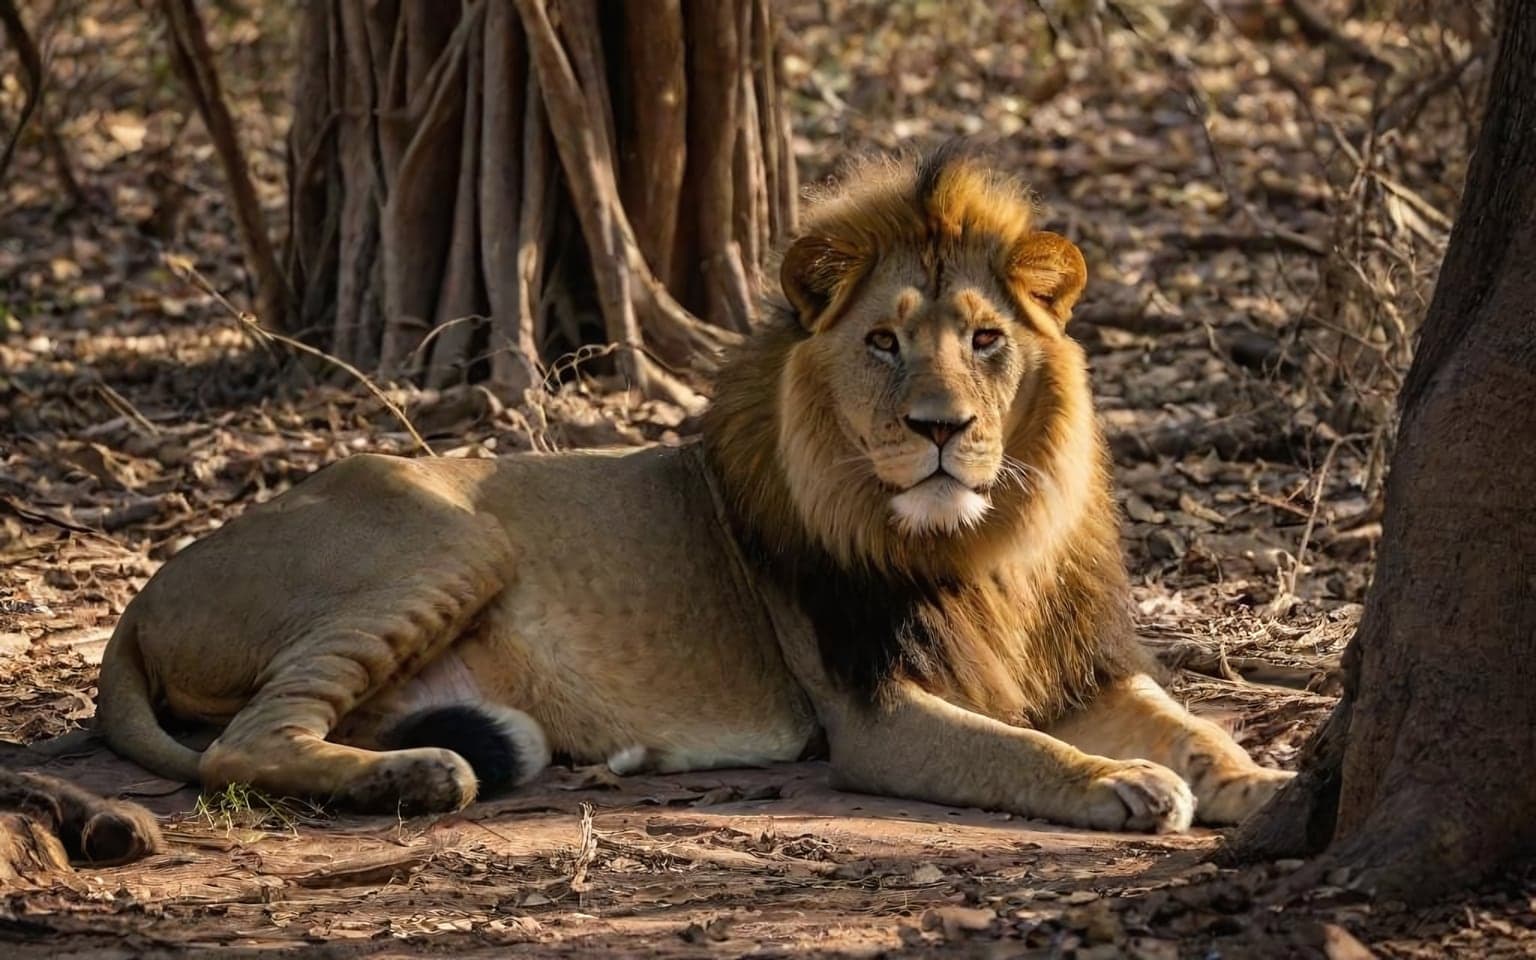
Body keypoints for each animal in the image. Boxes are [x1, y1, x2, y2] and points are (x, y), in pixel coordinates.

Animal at [95, 147, 1291, 833]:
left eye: (987, 341)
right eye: (884, 342)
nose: (941, 430)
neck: (978, 549)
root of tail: (142, 600)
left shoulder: (1082, 669)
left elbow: (1199, 730)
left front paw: (1270, 791)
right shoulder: (873, 711)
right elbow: (1014, 750)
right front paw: (1118, 785)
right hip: (444, 537)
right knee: (247, 743)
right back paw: (427, 779)